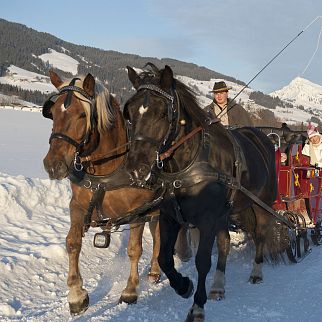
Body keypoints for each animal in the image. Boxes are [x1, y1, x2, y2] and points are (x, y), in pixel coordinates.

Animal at [41, 71, 170, 316]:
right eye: (52, 114)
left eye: (82, 114)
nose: (53, 166)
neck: (108, 169)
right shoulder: (77, 205)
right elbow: (72, 242)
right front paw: (76, 295)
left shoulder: (137, 211)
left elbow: (134, 249)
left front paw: (130, 291)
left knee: (160, 235)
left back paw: (157, 270)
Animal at [124, 63, 288, 322]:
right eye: (129, 113)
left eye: (162, 113)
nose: (135, 168)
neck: (187, 163)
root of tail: (263, 137)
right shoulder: (171, 217)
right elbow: (165, 258)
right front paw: (184, 286)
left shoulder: (208, 219)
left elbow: (202, 261)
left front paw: (197, 306)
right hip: (231, 211)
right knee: (225, 242)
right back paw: (218, 286)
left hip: (261, 204)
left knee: (260, 234)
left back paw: (256, 272)